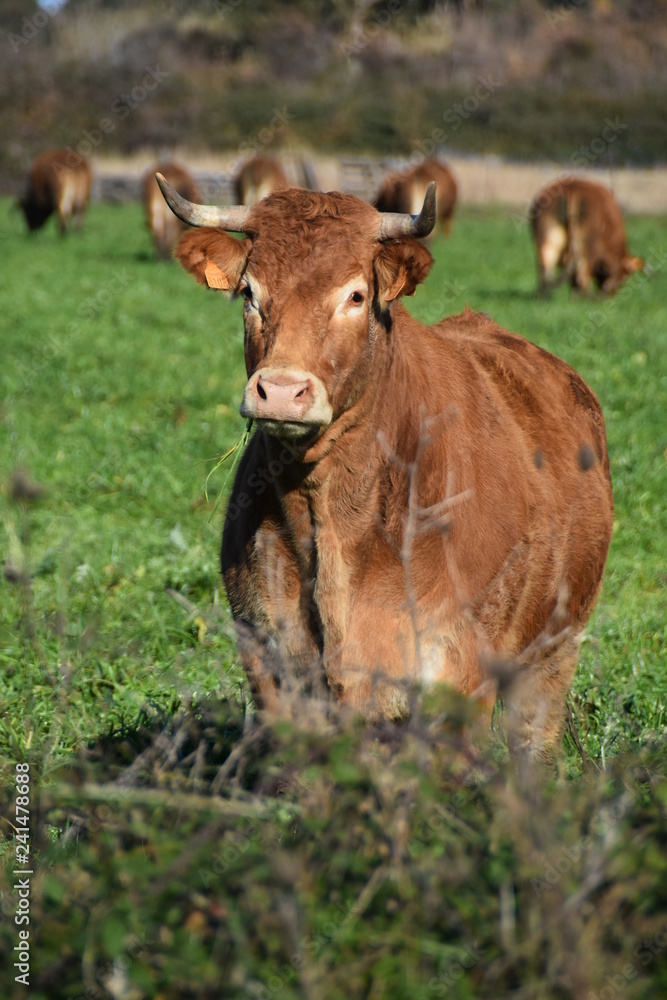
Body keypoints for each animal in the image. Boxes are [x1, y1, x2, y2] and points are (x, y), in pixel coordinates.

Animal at [158, 176, 616, 760]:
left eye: (355, 295)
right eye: (249, 293)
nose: (280, 390)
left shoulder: (457, 679)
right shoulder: (272, 668)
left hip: (552, 653)